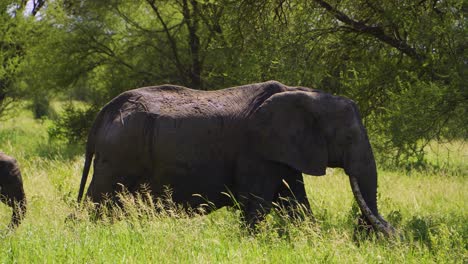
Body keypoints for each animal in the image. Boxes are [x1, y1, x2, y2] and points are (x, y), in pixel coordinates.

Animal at [77, 80, 394, 235]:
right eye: (349, 138)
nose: (364, 229)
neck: (305, 93)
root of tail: (106, 111)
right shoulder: (256, 151)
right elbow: (257, 205)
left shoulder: (282, 151)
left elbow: (295, 203)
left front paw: (310, 237)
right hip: (120, 153)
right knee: (98, 202)